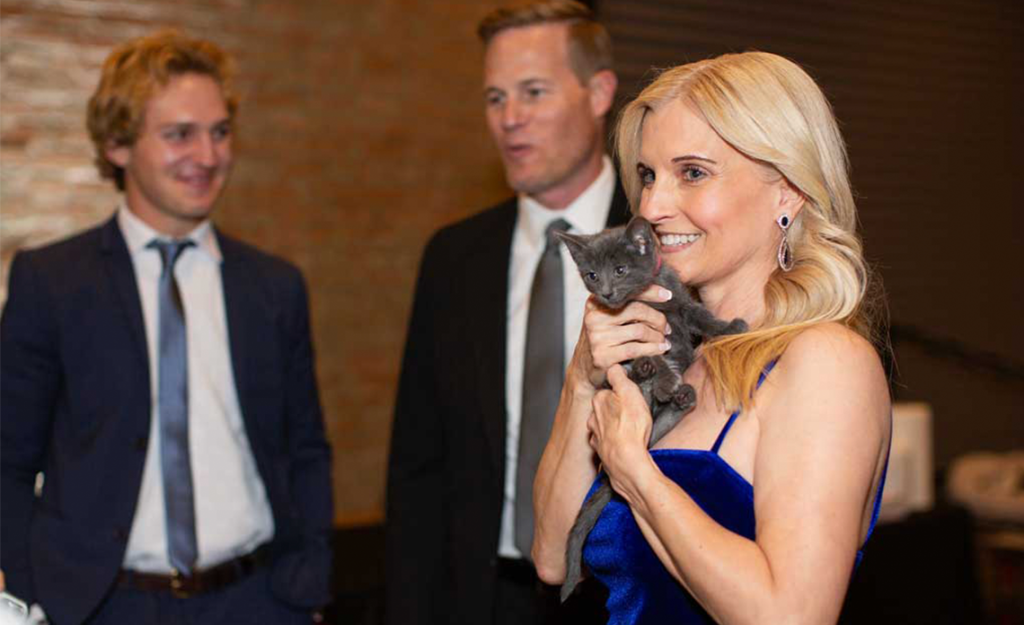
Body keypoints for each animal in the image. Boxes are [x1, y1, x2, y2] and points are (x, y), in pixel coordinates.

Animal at [557, 214, 749, 598]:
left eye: (619, 269)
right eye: (591, 274)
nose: (606, 293)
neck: (645, 298)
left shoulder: (679, 302)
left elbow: (699, 316)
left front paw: (728, 327)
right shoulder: (632, 333)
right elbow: (652, 352)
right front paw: (661, 374)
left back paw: (681, 396)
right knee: (635, 374)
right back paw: (655, 379)